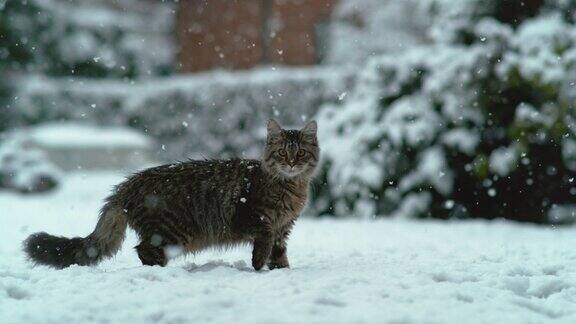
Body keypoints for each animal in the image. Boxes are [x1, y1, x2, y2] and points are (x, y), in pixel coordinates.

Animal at [23, 119, 320, 270]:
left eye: (300, 153)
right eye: (282, 153)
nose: (291, 164)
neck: (291, 188)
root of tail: (127, 185)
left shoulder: (284, 227)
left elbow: (279, 251)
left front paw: (281, 270)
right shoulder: (251, 217)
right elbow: (264, 239)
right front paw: (259, 265)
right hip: (171, 232)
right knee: (143, 250)